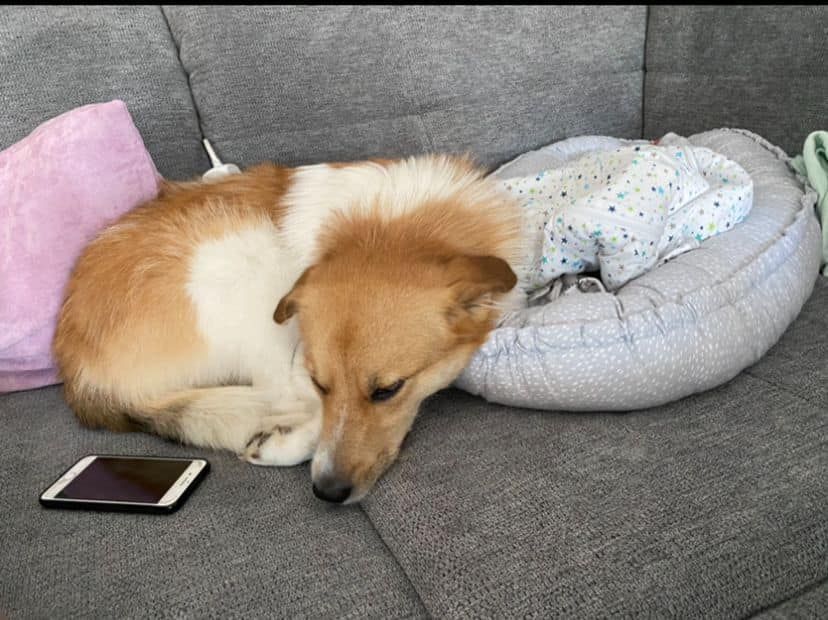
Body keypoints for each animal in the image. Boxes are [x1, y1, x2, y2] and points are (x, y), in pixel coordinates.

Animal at [53, 154, 523, 503]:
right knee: (278, 392)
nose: (327, 492)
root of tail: (79, 377)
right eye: (322, 383)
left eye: (388, 390)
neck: (392, 227)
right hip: (245, 265)